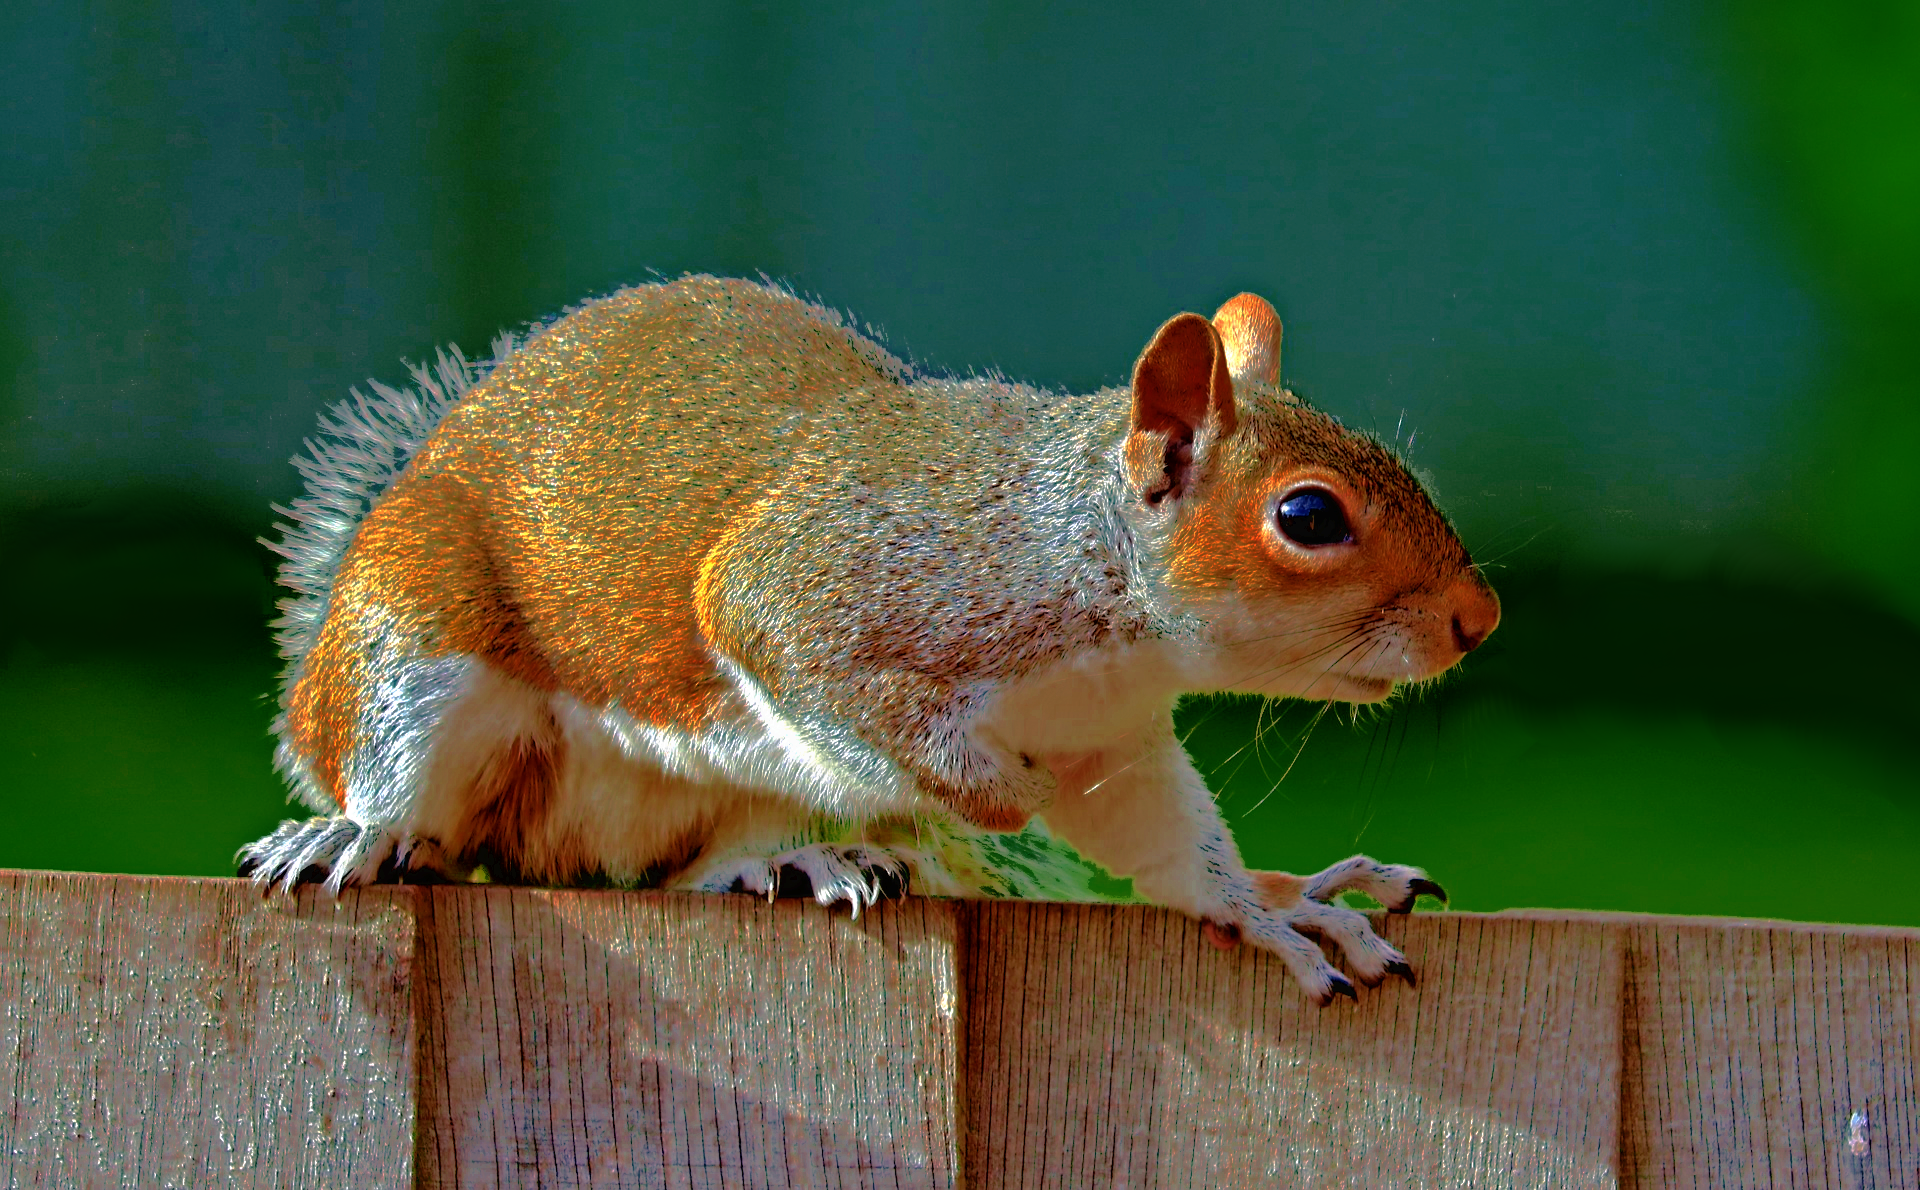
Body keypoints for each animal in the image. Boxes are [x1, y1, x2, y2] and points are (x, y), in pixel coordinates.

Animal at [238, 275, 1499, 1004]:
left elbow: (1172, 846)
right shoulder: (820, 594)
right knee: (408, 794)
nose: (1476, 618)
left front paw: (1271, 907)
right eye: (1308, 516)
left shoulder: (1114, 745)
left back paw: (793, 859)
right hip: (412, 643)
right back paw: (350, 833)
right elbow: (817, 673)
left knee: (682, 870)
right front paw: (989, 795)